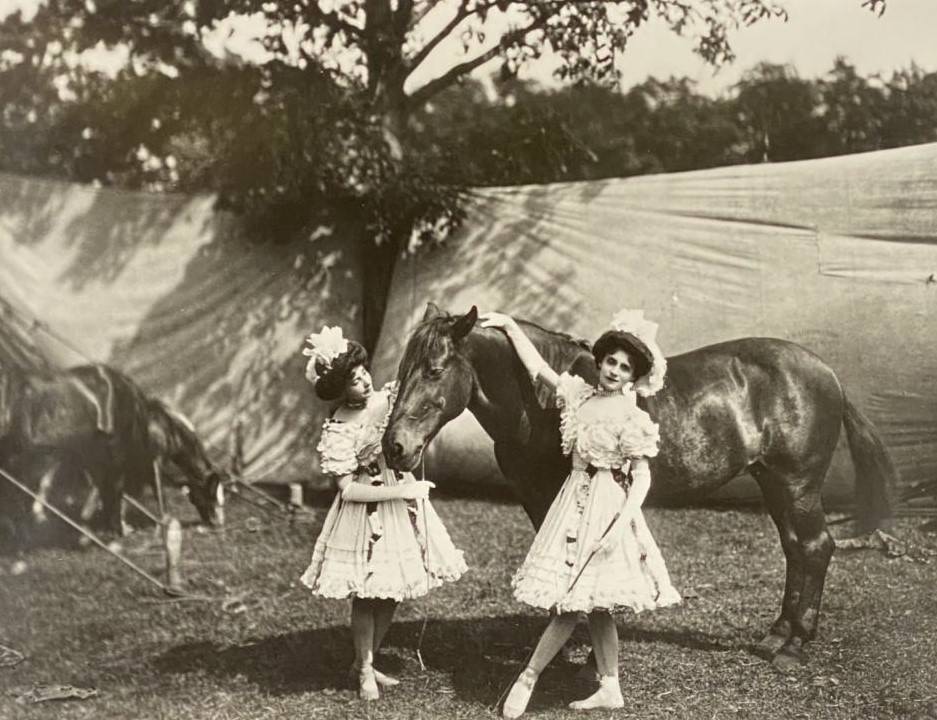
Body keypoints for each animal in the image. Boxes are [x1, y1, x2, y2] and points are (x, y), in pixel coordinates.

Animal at [384, 304, 896, 668]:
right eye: (403, 368)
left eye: (434, 370)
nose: (395, 446)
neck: (542, 401)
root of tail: (828, 374)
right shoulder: (537, 501)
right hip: (774, 482)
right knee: (795, 548)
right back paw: (776, 635)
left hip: (797, 484)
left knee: (815, 547)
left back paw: (794, 645)